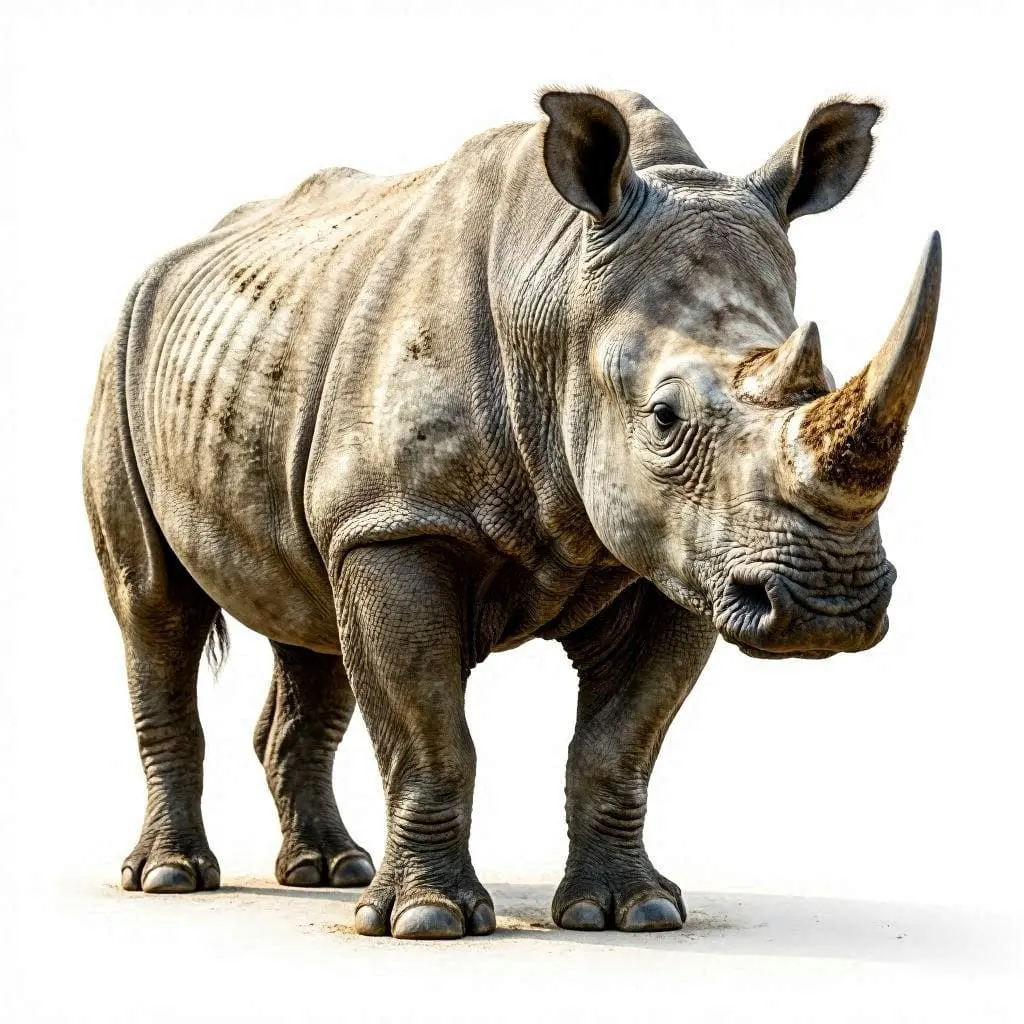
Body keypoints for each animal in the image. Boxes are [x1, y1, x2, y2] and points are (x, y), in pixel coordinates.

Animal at [83, 88, 940, 939]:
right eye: (664, 417)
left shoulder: (683, 554)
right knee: (153, 605)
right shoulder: (399, 523)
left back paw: (328, 871)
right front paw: (427, 921)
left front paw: (634, 912)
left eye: (824, 379)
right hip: (123, 353)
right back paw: (170, 877)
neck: (559, 297)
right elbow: (430, 733)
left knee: (308, 620)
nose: (828, 608)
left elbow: (618, 744)